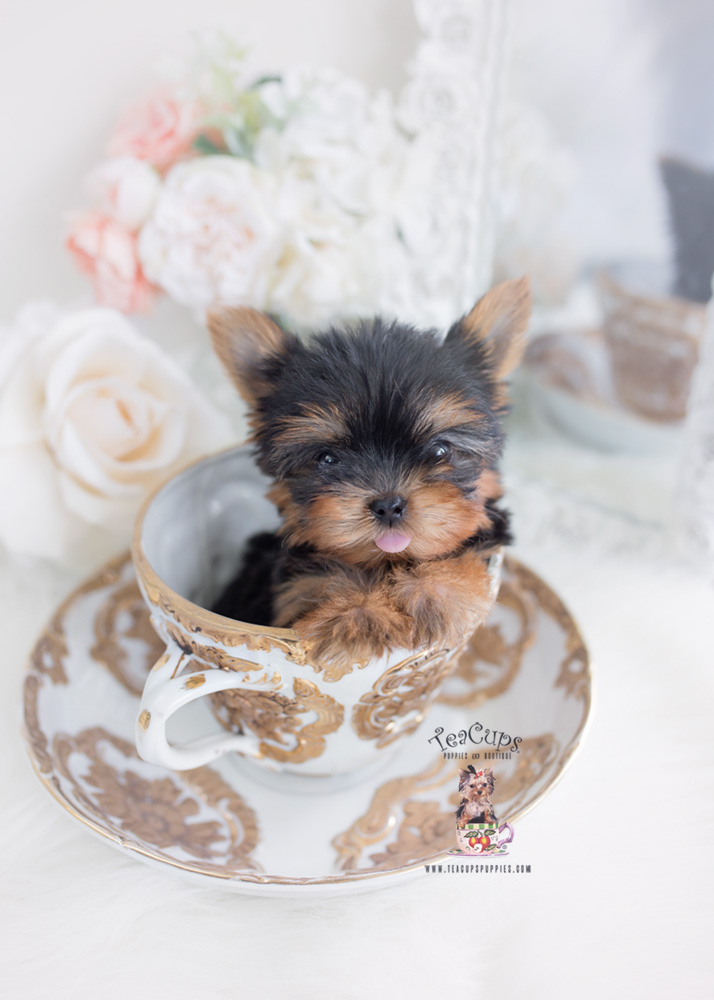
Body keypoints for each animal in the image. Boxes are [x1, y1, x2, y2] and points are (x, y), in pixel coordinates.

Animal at [206, 278, 528, 668]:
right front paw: (354, 614)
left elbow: (462, 555)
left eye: (441, 451)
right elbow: (325, 577)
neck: (386, 564)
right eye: (327, 459)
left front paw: (436, 591)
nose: (389, 505)